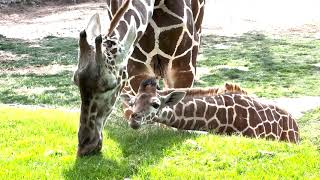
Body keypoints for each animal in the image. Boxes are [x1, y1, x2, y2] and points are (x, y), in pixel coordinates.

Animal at [73, 0, 205, 155]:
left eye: (111, 84)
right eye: (75, 80)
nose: (85, 146)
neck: (157, 5)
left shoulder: (183, 67)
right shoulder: (136, 68)